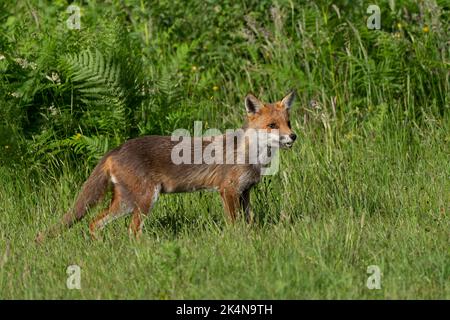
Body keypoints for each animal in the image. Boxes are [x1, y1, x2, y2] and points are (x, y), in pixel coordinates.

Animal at [35, 90, 296, 242]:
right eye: (272, 125)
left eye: (288, 122)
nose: (293, 136)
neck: (251, 155)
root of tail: (115, 149)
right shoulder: (228, 190)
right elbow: (234, 224)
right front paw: (238, 242)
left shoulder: (245, 192)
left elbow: (249, 222)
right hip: (147, 199)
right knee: (132, 230)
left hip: (127, 203)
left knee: (94, 223)